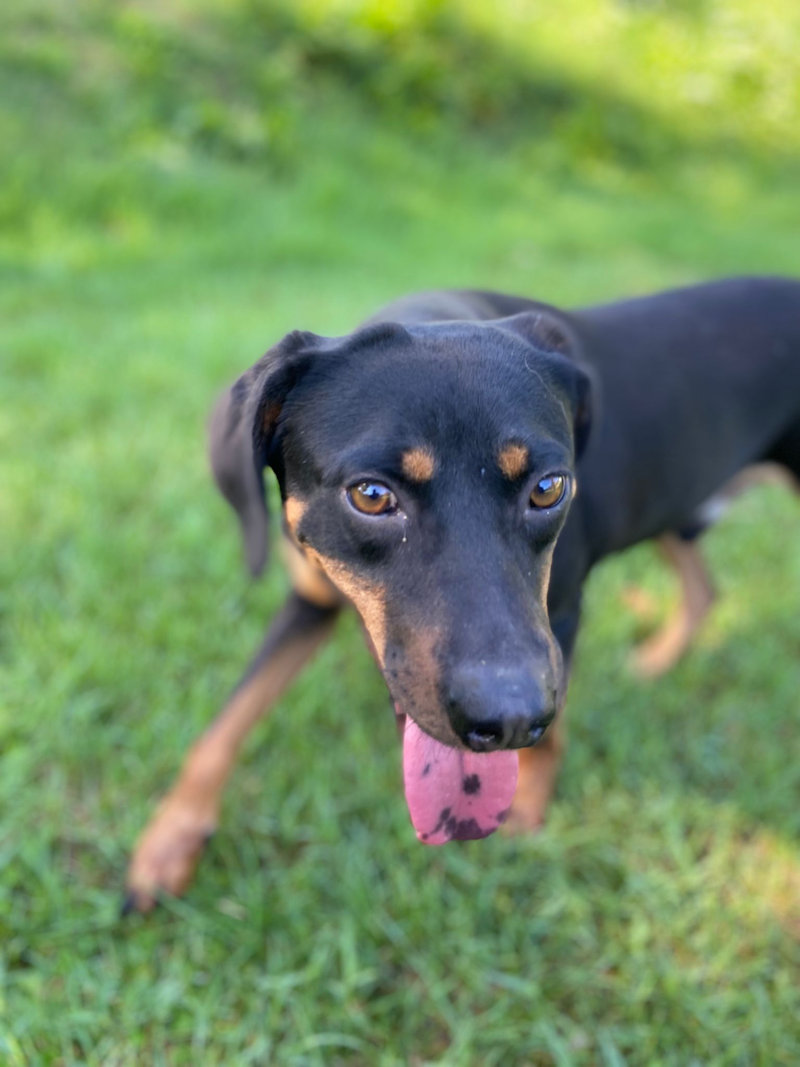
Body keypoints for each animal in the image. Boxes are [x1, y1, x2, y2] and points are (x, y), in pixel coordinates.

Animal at [125, 276, 800, 912]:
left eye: (549, 487)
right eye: (371, 496)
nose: (508, 720)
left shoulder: (559, 616)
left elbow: (554, 728)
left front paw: (526, 813)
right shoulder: (311, 602)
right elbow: (224, 725)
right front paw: (167, 844)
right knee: (705, 588)